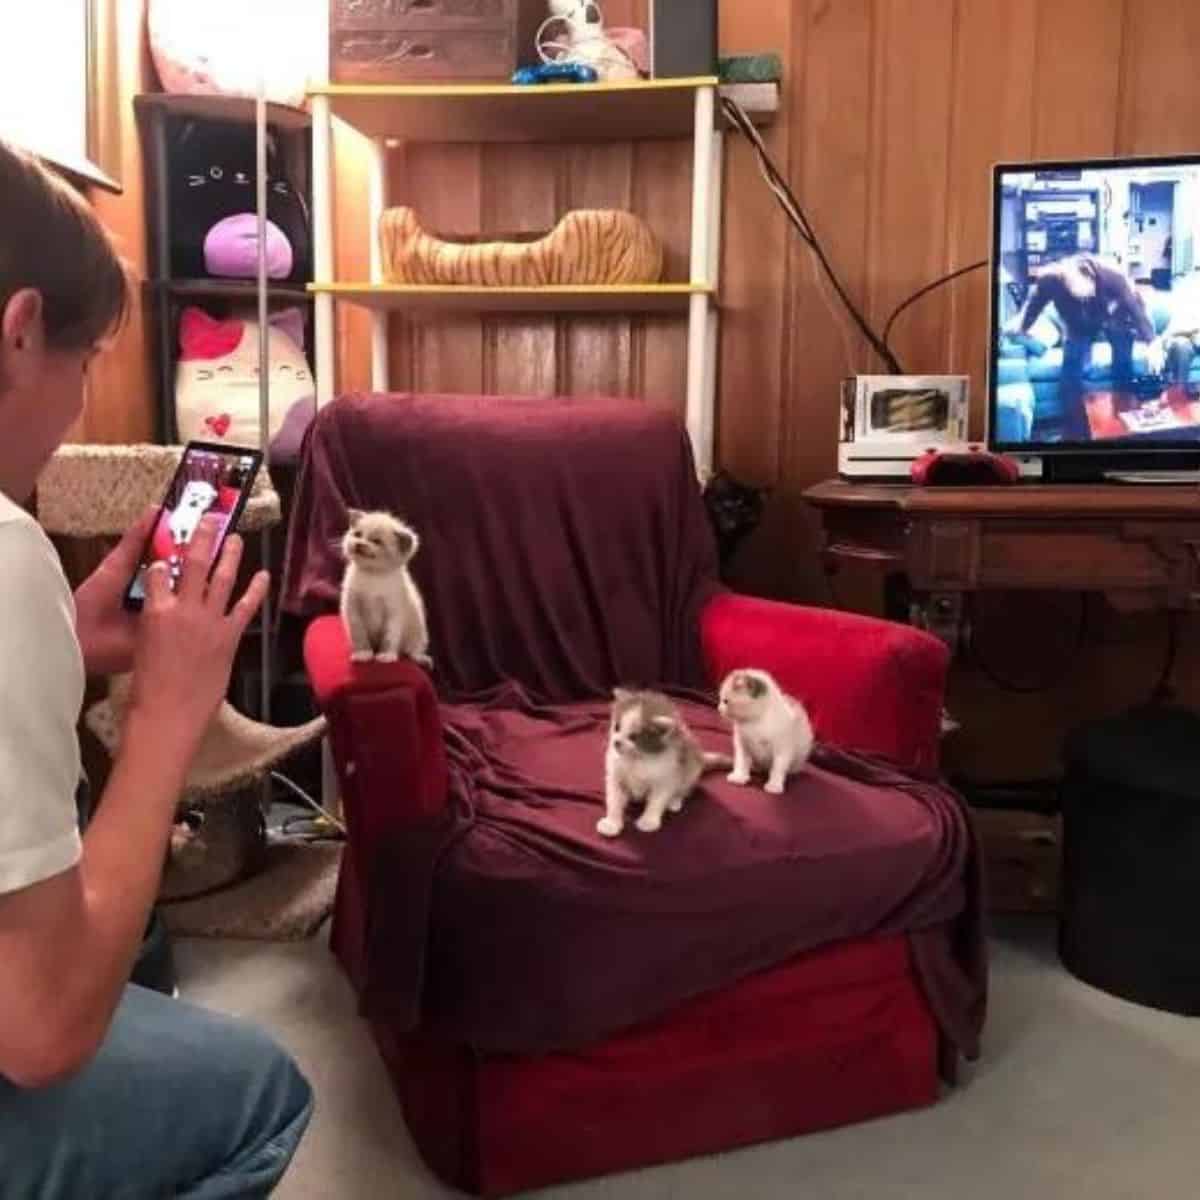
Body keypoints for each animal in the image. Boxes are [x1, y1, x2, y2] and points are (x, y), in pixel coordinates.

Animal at [338, 508, 432, 672]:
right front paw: (363, 653)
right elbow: (359, 635)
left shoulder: (394, 612)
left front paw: (385, 656)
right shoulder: (352, 609)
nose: (359, 544)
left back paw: (421, 659)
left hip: (419, 632)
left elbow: (389, 636)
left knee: (413, 650)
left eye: (377, 541)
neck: (373, 574)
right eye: (358, 534)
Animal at [597, 691, 729, 840]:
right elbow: (614, 798)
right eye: (617, 727)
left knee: (684, 787)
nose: (616, 742)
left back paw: (674, 800)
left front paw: (648, 821)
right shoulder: (616, 775)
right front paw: (611, 823)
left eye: (634, 737)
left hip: (691, 767)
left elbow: (657, 800)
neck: (636, 758)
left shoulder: (667, 775)